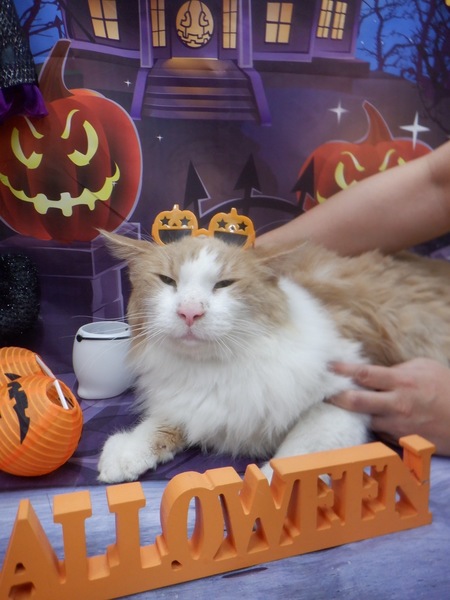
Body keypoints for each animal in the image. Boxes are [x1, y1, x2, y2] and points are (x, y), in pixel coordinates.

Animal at [97, 232, 450, 483]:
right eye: (167, 280)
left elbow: (293, 460)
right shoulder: (194, 404)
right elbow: (158, 425)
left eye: (224, 284)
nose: (189, 312)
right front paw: (125, 453)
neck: (217, 368)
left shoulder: (344, 397)